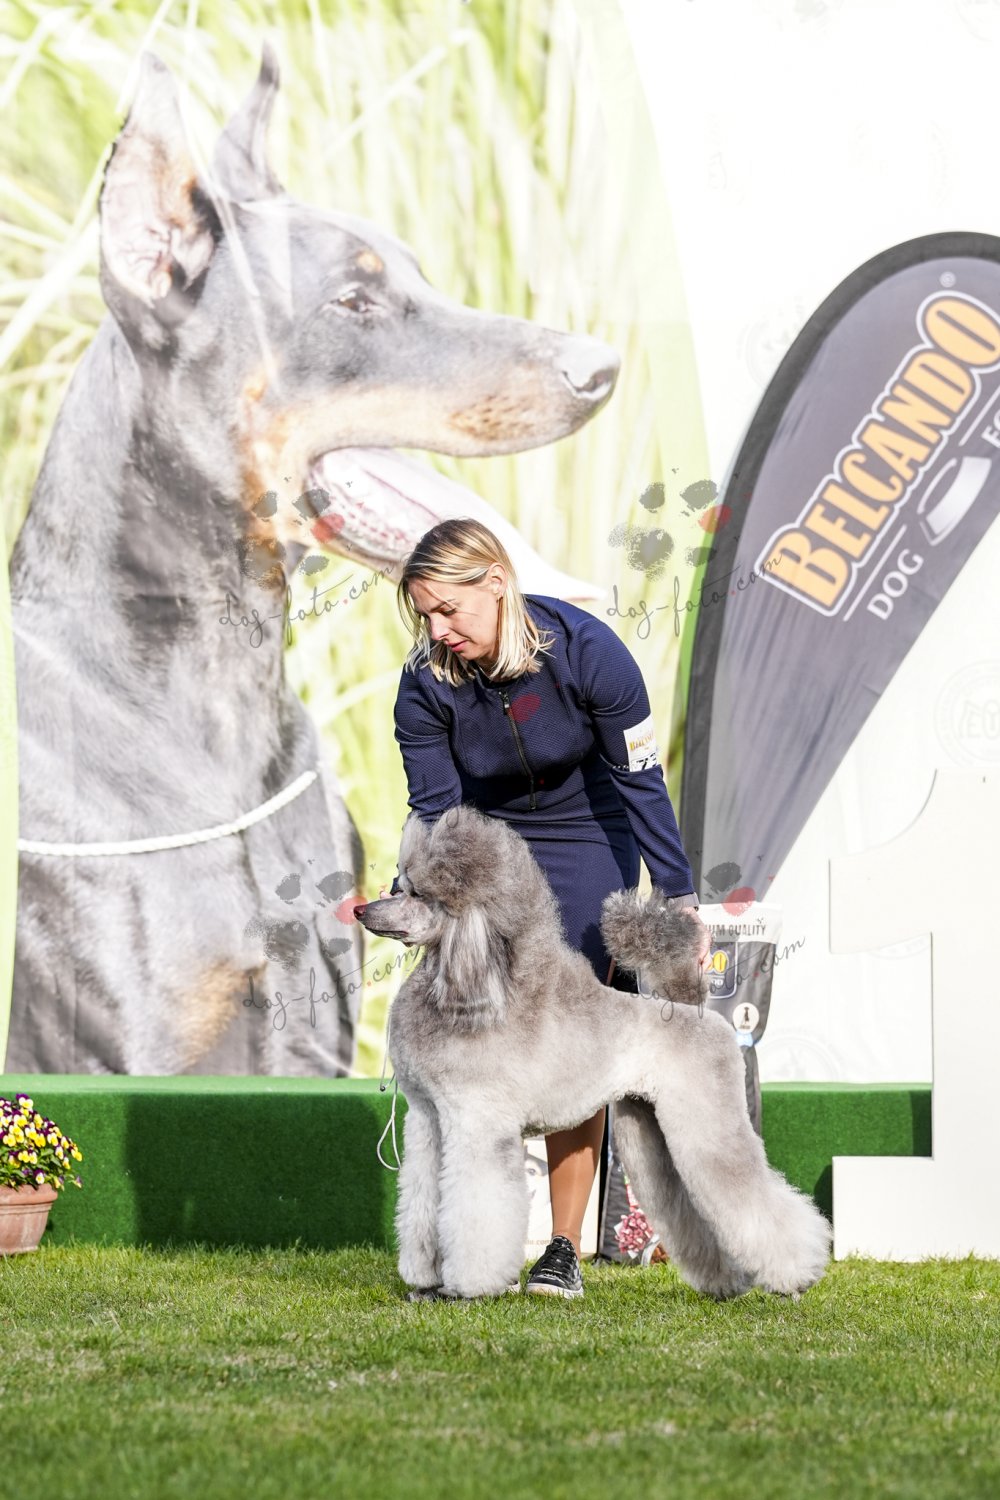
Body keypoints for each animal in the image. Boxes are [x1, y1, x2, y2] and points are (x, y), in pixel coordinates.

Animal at [353, 804, 832, 1301]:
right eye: (400, 886)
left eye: (417, 895)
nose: (361, 909)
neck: (467, 990)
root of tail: (695, 1011)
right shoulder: (429, 1121)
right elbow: (423, 1200)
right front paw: (425, 1281)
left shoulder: (478, 1123)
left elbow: (478, 1209)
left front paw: (471, 1285)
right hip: (651, 1128)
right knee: (691, 1205)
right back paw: (727, 1281)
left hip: (708, 1124)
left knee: (749, 1195)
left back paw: (798, 1274)